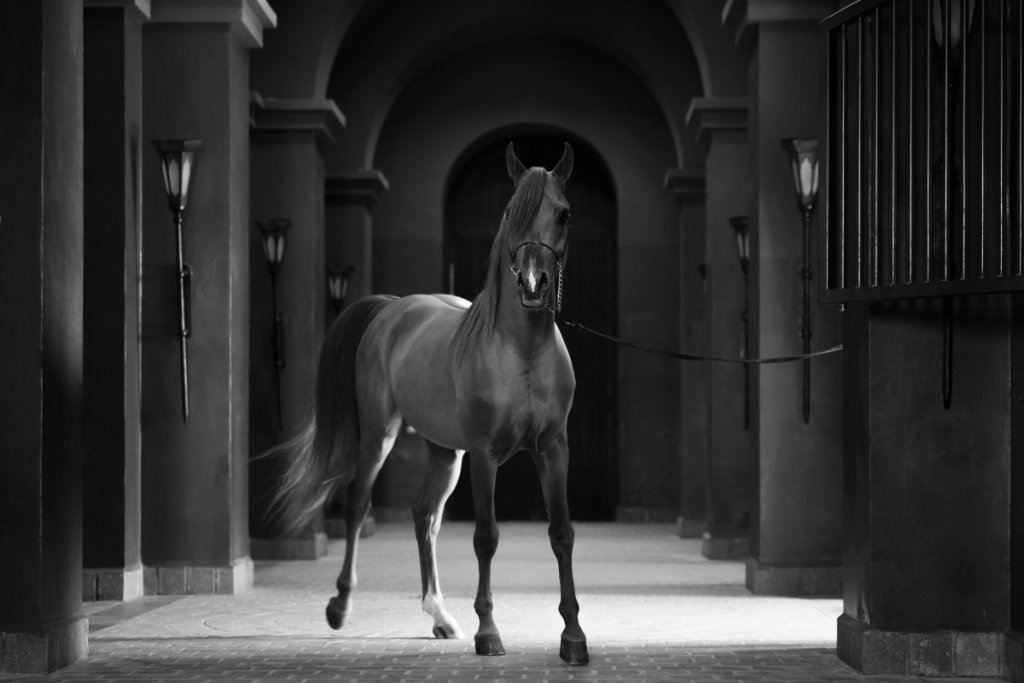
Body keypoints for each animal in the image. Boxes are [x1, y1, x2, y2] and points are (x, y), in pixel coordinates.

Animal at [270, 141, 588, 665]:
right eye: (510, 212)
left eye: (563, 214)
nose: (532, 284)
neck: (520, 352)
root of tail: (393, 307)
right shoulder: (484, 455)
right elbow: (486, 537)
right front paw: (488, 633)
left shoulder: (554, 450)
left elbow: (562, 534)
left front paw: (573, 636)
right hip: (379, 437)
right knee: (358, 505)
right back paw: (340, 605)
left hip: (444, 453)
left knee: (425, 517)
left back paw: (439, 615)